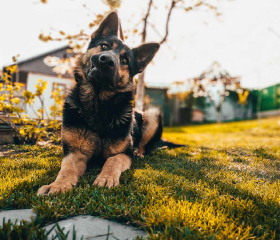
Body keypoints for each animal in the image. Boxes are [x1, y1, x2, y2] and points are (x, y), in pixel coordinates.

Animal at [38, 11, 163, 195]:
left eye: (125, 60)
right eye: (104, 46)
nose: (106, 60)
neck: (98, 104)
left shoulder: (122, 154)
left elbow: (112, 161)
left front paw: (106, 177)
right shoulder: (75, 153)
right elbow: (67, 169)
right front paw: (58, 185)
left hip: (153, 115)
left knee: (142, 145)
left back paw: (139, 153)